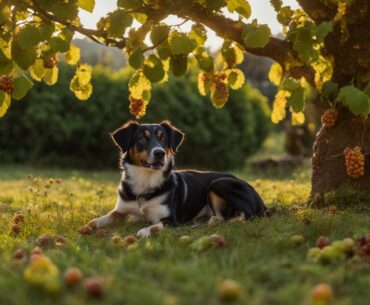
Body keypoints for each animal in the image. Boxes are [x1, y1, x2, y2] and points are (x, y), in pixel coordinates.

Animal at [79, 120, 268, 236]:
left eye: (163, 138)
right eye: (142, 138)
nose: (160, 153)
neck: (145, 181)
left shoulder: (170, 220)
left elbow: (154, 226)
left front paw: (145, 231)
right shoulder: (120, 211)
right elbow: (98, 219)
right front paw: (86, 227)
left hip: (219, 183)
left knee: (245, 215)